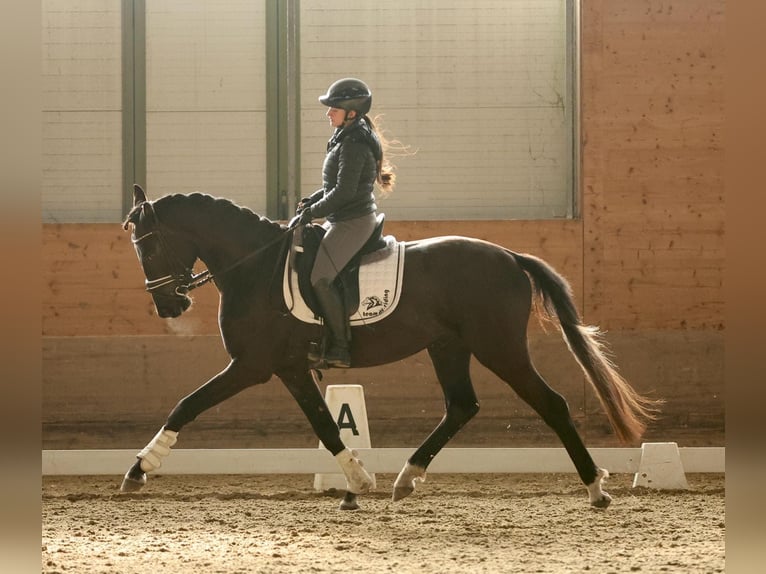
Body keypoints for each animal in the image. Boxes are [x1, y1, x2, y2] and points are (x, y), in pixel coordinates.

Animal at [120, 183, 660, 508]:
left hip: (498, 347)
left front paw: (138, 470)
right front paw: (359, 481)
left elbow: (187, 405)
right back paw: (407, 477)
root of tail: (508, 255)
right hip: (448, 346)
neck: (255, 267)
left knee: (551, 403)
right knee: (461, 405)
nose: (168, 306)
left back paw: (595, 487)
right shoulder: (289, 368)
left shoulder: (253, 365)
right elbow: (325, 423)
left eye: (148, 245)